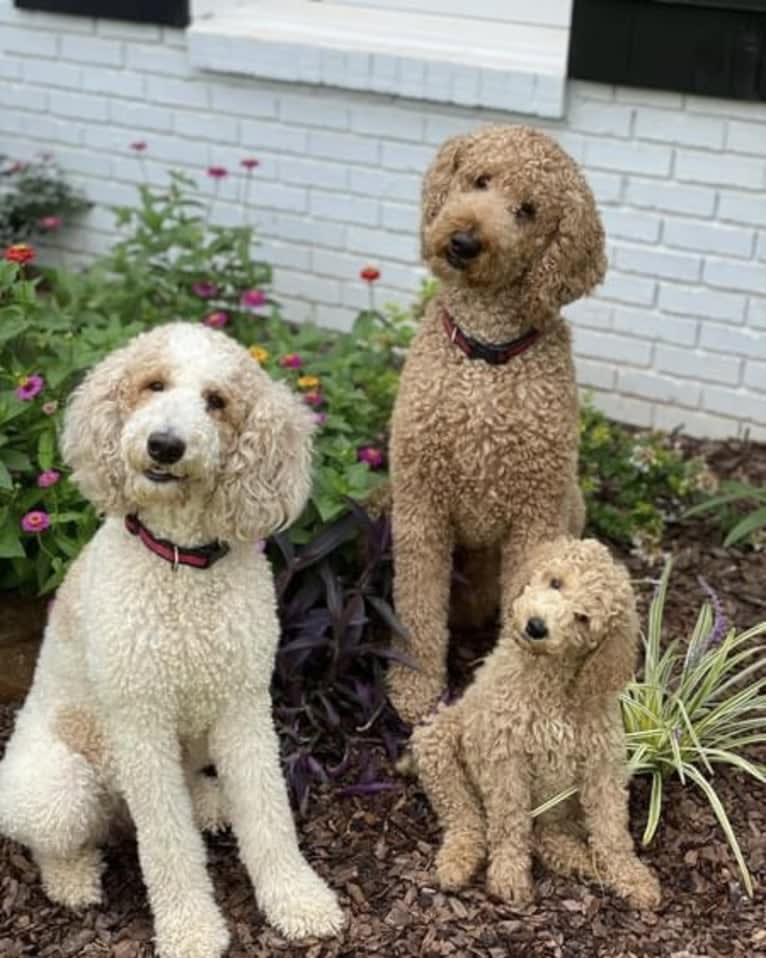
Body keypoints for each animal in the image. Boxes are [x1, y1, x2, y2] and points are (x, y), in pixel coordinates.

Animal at [0, 324, 344, 958]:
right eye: (153, 384)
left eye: (217, 401)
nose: (164, 445)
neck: (183, 565)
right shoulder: (141, 722)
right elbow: (167, 842)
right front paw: (191, 929)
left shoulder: (243, 706)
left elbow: (269, 814)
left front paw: (297, 900)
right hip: (59, 787)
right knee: (53, 839)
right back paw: (72, 879)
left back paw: (209, 801)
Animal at [388, 127, 608, 728]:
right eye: (478, 179)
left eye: (527, 210)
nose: (464, 240)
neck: (486, 358)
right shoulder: (421, 507)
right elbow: (416, 606)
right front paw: (414, 690)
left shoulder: (534, 515)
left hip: (569, 505)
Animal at [414, 536, 660, 912]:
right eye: (555, 582)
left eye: (583, 617)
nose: (536, 626)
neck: (548, 680)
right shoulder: (505, 757)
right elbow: (508, 822)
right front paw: (509, 876)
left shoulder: (603, 764)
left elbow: (611, 828)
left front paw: (631, 877)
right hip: (437, 741)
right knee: (465, 816)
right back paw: (458, 860)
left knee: (547, 834)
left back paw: (578, 859)